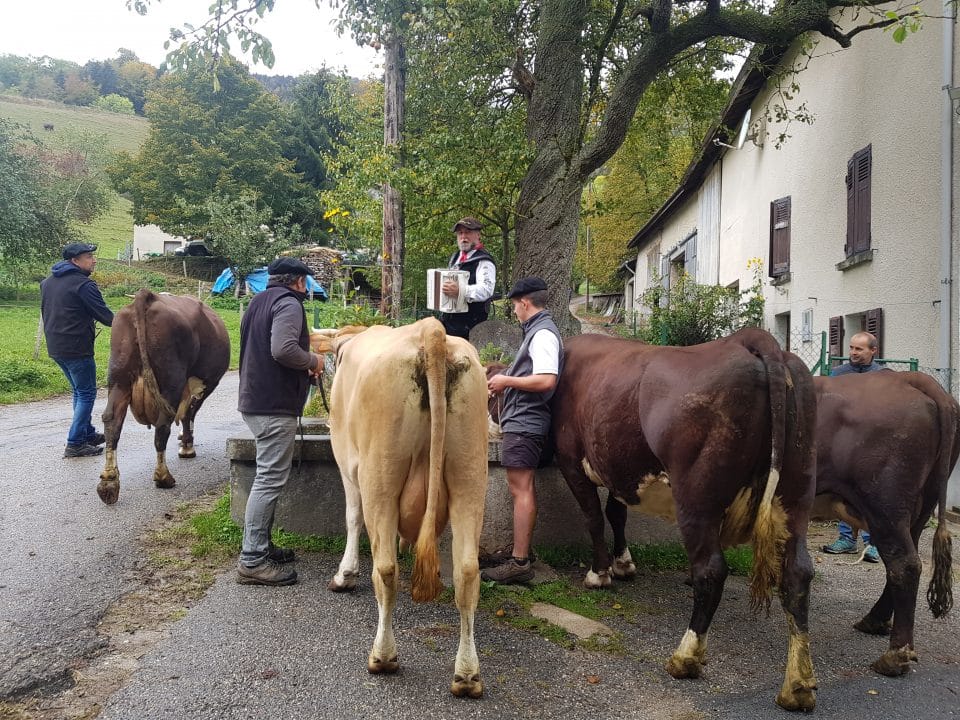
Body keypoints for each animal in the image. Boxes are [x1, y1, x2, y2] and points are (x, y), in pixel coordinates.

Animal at [96, 290, 230, 504]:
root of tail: (147, 296)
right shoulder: (204, 385)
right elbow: (189, 414)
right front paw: (187, 446)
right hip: (171, 382)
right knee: (162, 427)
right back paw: (163, 477)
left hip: (118, 379)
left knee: (112, 422)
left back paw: (109, 483)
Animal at [312, 320, 488, 696]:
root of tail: (431, 331)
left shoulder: (347, 463)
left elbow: (352, 518)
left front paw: (345, 574)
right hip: (470, 473)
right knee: (467, 571)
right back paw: (467, 674)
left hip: (379, 475)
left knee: (385, 568)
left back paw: (382, 656)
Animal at [548, 330, 816, 712]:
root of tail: (751, 339)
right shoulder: (620, 468)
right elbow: (616, 513)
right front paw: (623, 564)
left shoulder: (571, 460)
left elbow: (593, 517)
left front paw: (599, 573)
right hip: (797, 492)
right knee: (798, 573)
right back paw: (798, 685)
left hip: (696, 495)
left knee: (711, 570)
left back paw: (685, 657)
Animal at [808, 372, 960, 676]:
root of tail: (909, 376)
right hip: (917, 508)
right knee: (906, 560)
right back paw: (875, 620)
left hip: (884, 502)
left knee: (904, 563)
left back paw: (895, 655)